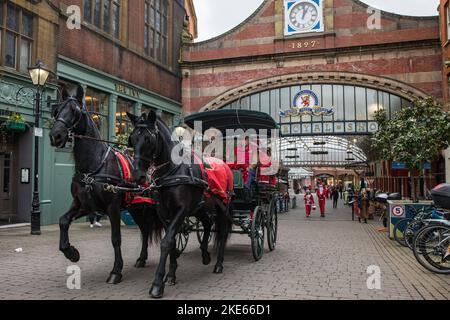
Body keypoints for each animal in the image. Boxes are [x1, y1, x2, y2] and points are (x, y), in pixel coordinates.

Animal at [48, 84, 162, 282]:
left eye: (75, 110)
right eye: (57, 110)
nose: (56, 135)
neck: (93, 166)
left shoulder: (112, 207)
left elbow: (116, 238)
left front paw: (116, 271)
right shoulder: (84, 205)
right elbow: (63, 221)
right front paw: (71, 252)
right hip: (136, 207)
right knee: (145, 230)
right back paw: (141, 259)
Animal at [125, 112, 232, 298]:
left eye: (148, 139)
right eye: (132, 138)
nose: (138, 175)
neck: (172, 171)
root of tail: (224, 164)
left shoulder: (181, 211)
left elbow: (166, 242)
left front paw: (157, 284)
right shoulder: (163, 212)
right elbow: (173, 242)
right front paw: (171, 275)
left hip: (221, 206)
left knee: (223, 231)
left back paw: (219, 264)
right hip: (200, 207)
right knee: (207, 224)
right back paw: (205, 254)